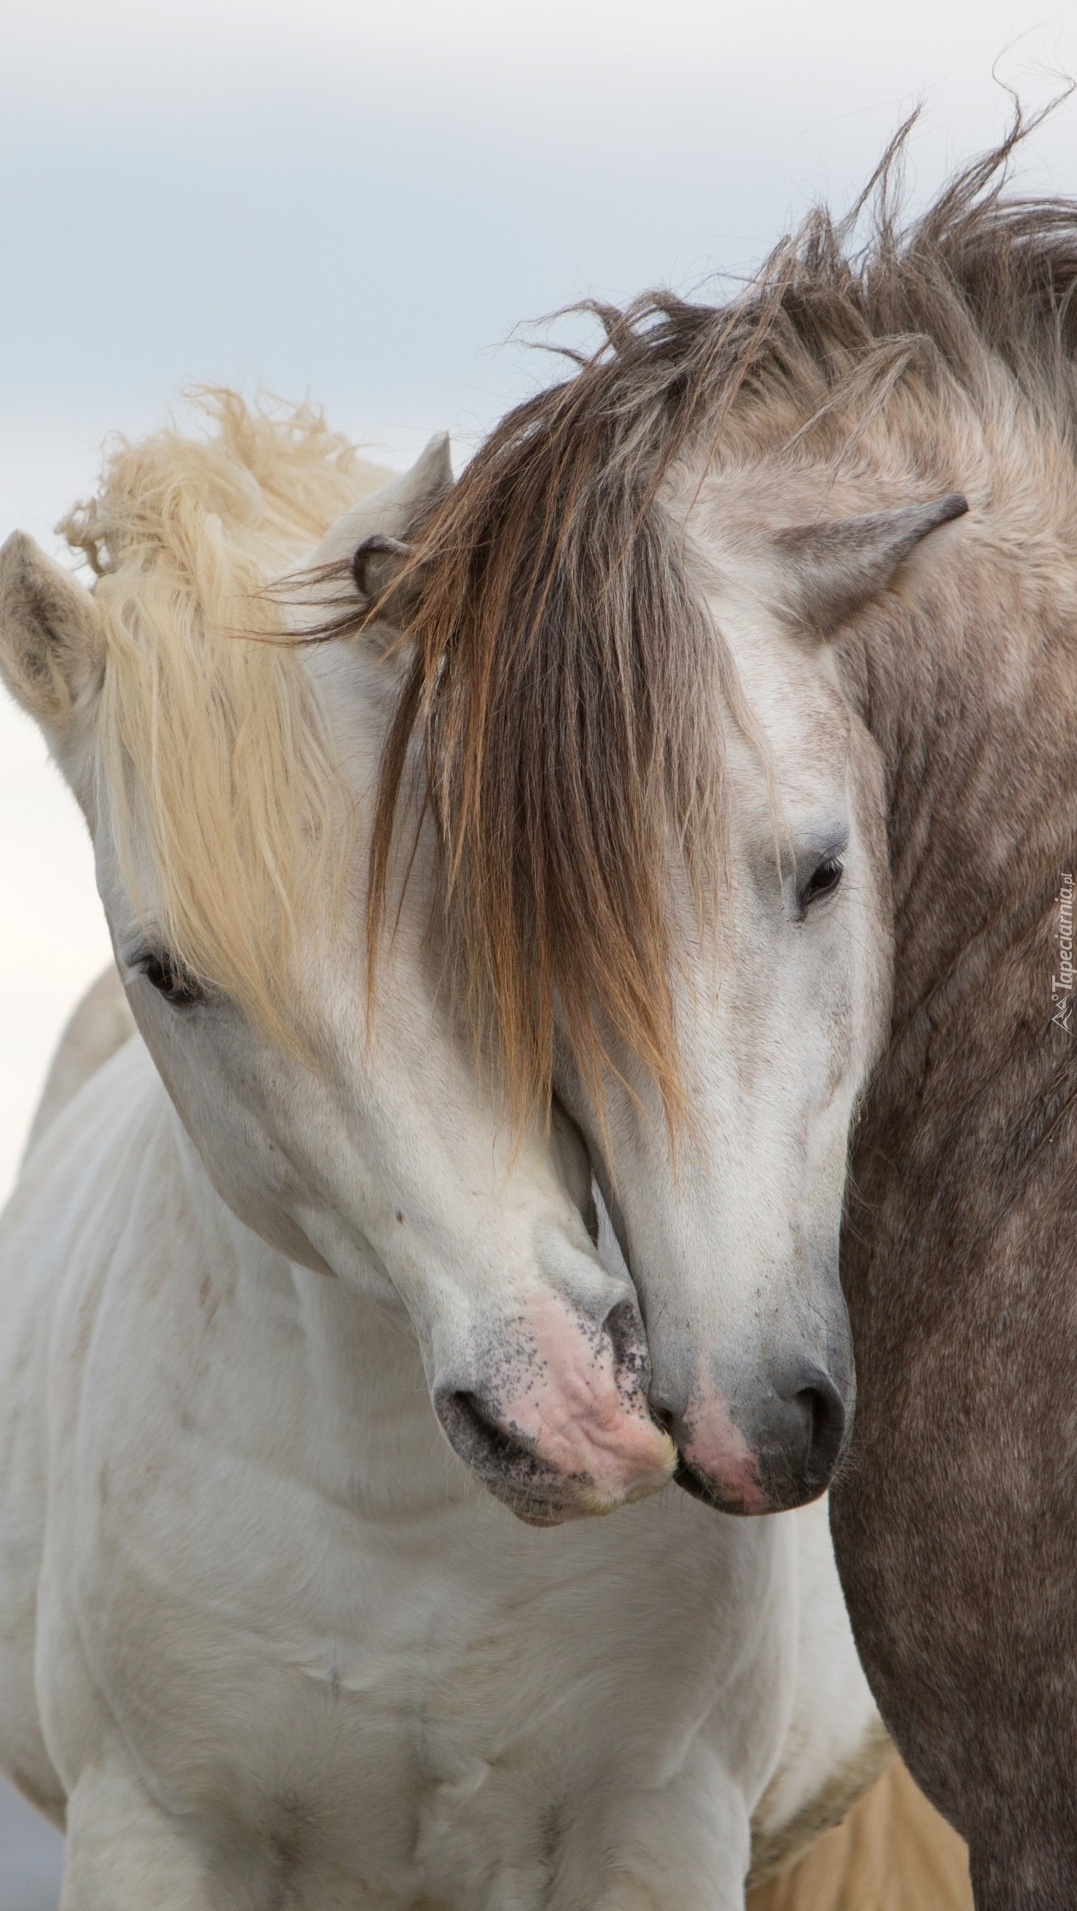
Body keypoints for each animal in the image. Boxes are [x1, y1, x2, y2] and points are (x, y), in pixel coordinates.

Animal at [0, 395, 878, 1903]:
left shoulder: (663, 1824)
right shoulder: (148, 1830)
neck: (405, 1521)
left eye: (471, 853)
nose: (564, 1405)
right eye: (165, 971)